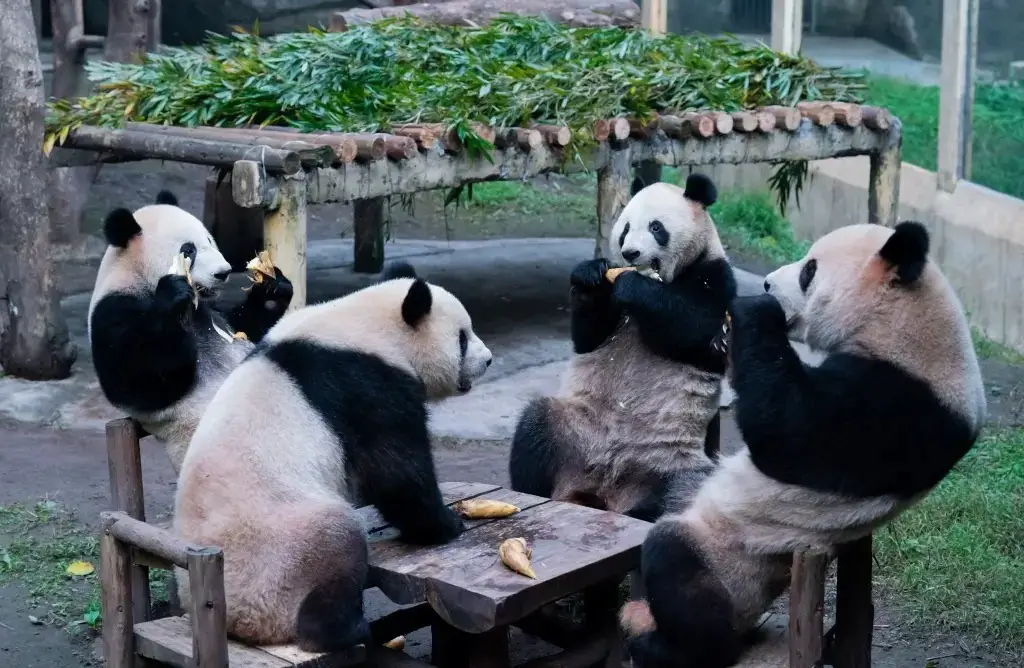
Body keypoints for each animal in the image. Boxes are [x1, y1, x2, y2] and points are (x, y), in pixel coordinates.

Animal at [87, 190, 292, 475]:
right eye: (189, 249)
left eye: (209, 239)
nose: (224, 272)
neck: (137, 276)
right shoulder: (113, 311)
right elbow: (136, 379)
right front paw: (173, 295)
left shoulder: (213, 313)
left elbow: (247, 327)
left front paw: (272, 287)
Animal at [174, 261, 493, 651]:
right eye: (462, 337)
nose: (488, 360)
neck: (367, 327)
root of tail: (236, 622)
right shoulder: (364, 386)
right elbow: (395, 471)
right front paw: (447, 524)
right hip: (283, 549)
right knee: (337, 546)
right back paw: (347, 630)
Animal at [509, 175, 737, 518]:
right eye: (626, 228)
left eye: (657, 227)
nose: (630, 253)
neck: (666, 278)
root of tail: (606, 492)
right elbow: (589, 337)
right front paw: (589, 274)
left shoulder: (716, 277)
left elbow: (697, 331)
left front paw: (633, 287)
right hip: (574, 428)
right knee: (535, 428)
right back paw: (531, 492)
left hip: (672, 458)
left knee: (683, 488)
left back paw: (645, 509)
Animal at [618, 221, 987, 663]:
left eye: (809, 270)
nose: (766, 283)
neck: (904, 325)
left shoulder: (901, 406)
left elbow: (788, 433)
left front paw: (754, 310)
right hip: (691, 493)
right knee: (660, 499)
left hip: (735, 559)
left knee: (678, 569)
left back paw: (670, 647)